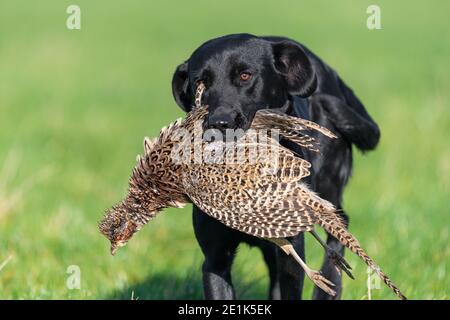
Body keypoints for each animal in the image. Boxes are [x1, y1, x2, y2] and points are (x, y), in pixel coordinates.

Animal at [171, 33, 378, 298]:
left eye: (245, 75)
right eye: (200, 82)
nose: (220, 122)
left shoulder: (291, 256)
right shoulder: (215, 259)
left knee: (339, 227)